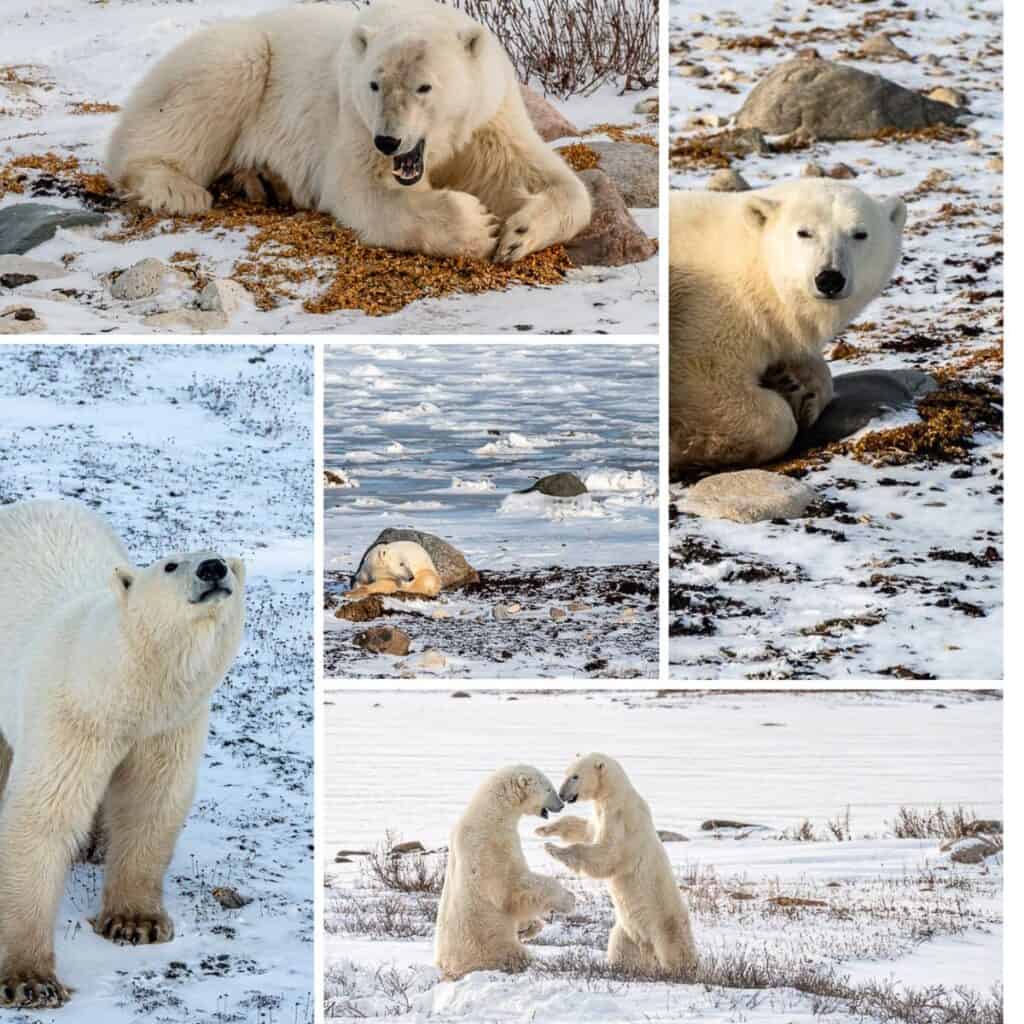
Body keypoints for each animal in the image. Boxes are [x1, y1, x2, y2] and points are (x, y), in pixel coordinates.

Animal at [0, 497, 245, 1007]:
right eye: (170, 564)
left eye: (223, 558)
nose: (212, 569)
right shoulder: (74, 718)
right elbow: (43, 812)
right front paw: (30, 980)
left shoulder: (168, 725)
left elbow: (150, 800)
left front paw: (136, 922)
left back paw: (93, 846)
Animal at [107, 0, 589, 264]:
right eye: (375, 84)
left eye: (424, 86)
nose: (388, 140)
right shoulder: (354, 117)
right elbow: (359, 188)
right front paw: (478, 224)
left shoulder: (489, 114)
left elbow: (529, 172)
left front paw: (518, 233)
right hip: (239, 54)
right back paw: (176, 187)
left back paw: (263, 181)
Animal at [432, 765, 577, 978]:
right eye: (549, 788)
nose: (561, 805)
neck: (492, 811)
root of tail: (449, 969)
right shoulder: (492, 843)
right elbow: (513, 886)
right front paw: (569, 899)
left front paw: (530, 925)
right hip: (488, 944)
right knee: (513, 954)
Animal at [536, 753, 696, 974]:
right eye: (567, 772)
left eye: (575, 776)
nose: (562, 794)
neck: (615, 794)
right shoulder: (601, 815)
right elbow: (586, 831)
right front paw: (544, 829)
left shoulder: (620, 819)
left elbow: (608, 853)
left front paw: (553, 848)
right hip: (627, 931)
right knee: (621, 949)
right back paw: (619, 966)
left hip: (665, 924)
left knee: (676, 950)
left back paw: (683, 969)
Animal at [671, 179, 905, 475]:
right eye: (803, 232)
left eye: (860, 233)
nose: (829, 279)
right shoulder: (702, 320)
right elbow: (708, 385)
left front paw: (797, 387)